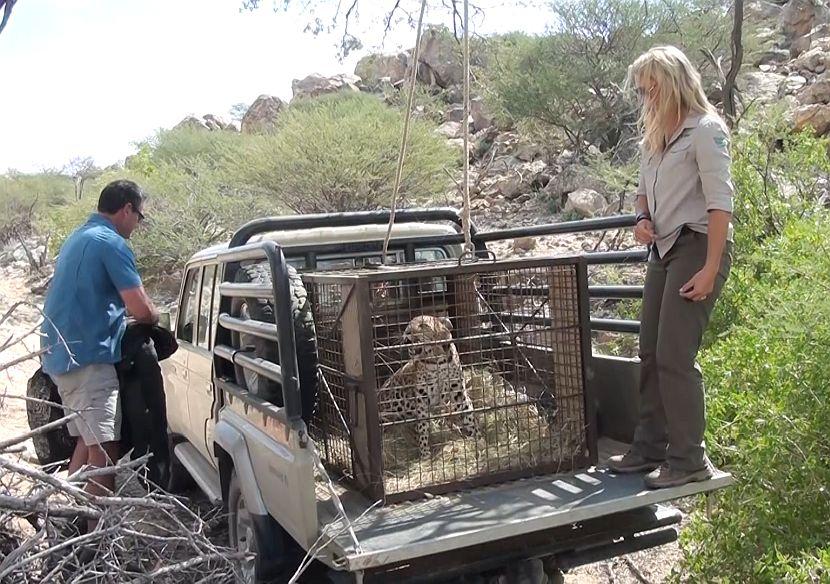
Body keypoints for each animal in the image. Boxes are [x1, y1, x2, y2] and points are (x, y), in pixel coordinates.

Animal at [378, 314, 478, 456]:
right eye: (408, 325)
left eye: (423, 325)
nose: (407, 332)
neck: (438, 360)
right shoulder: (422, 398)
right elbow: (423, 426)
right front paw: (425, 453)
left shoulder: (458, 391)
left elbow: (468, 412)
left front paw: (479, 438)